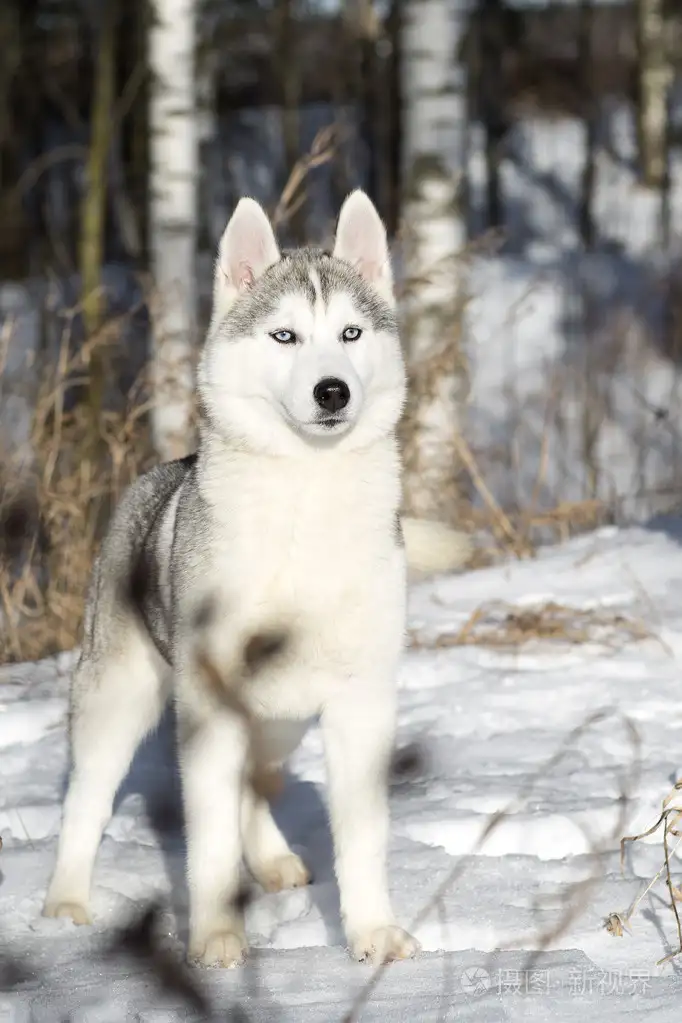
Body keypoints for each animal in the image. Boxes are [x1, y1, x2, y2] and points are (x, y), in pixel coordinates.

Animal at [42, 192, 470, 965]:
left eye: (351, 332)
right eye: (285, 337)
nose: (332, 390)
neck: (306, 502)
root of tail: (159, 473)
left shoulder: (361, 702)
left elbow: (362, 837)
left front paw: (371, 934)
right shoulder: (208, 703)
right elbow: (207, 840)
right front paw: (216, 940)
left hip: (281, 722)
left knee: (252, 785)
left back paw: (272, 860)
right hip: (116, 703)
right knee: (86, 802)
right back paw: (65, 903)